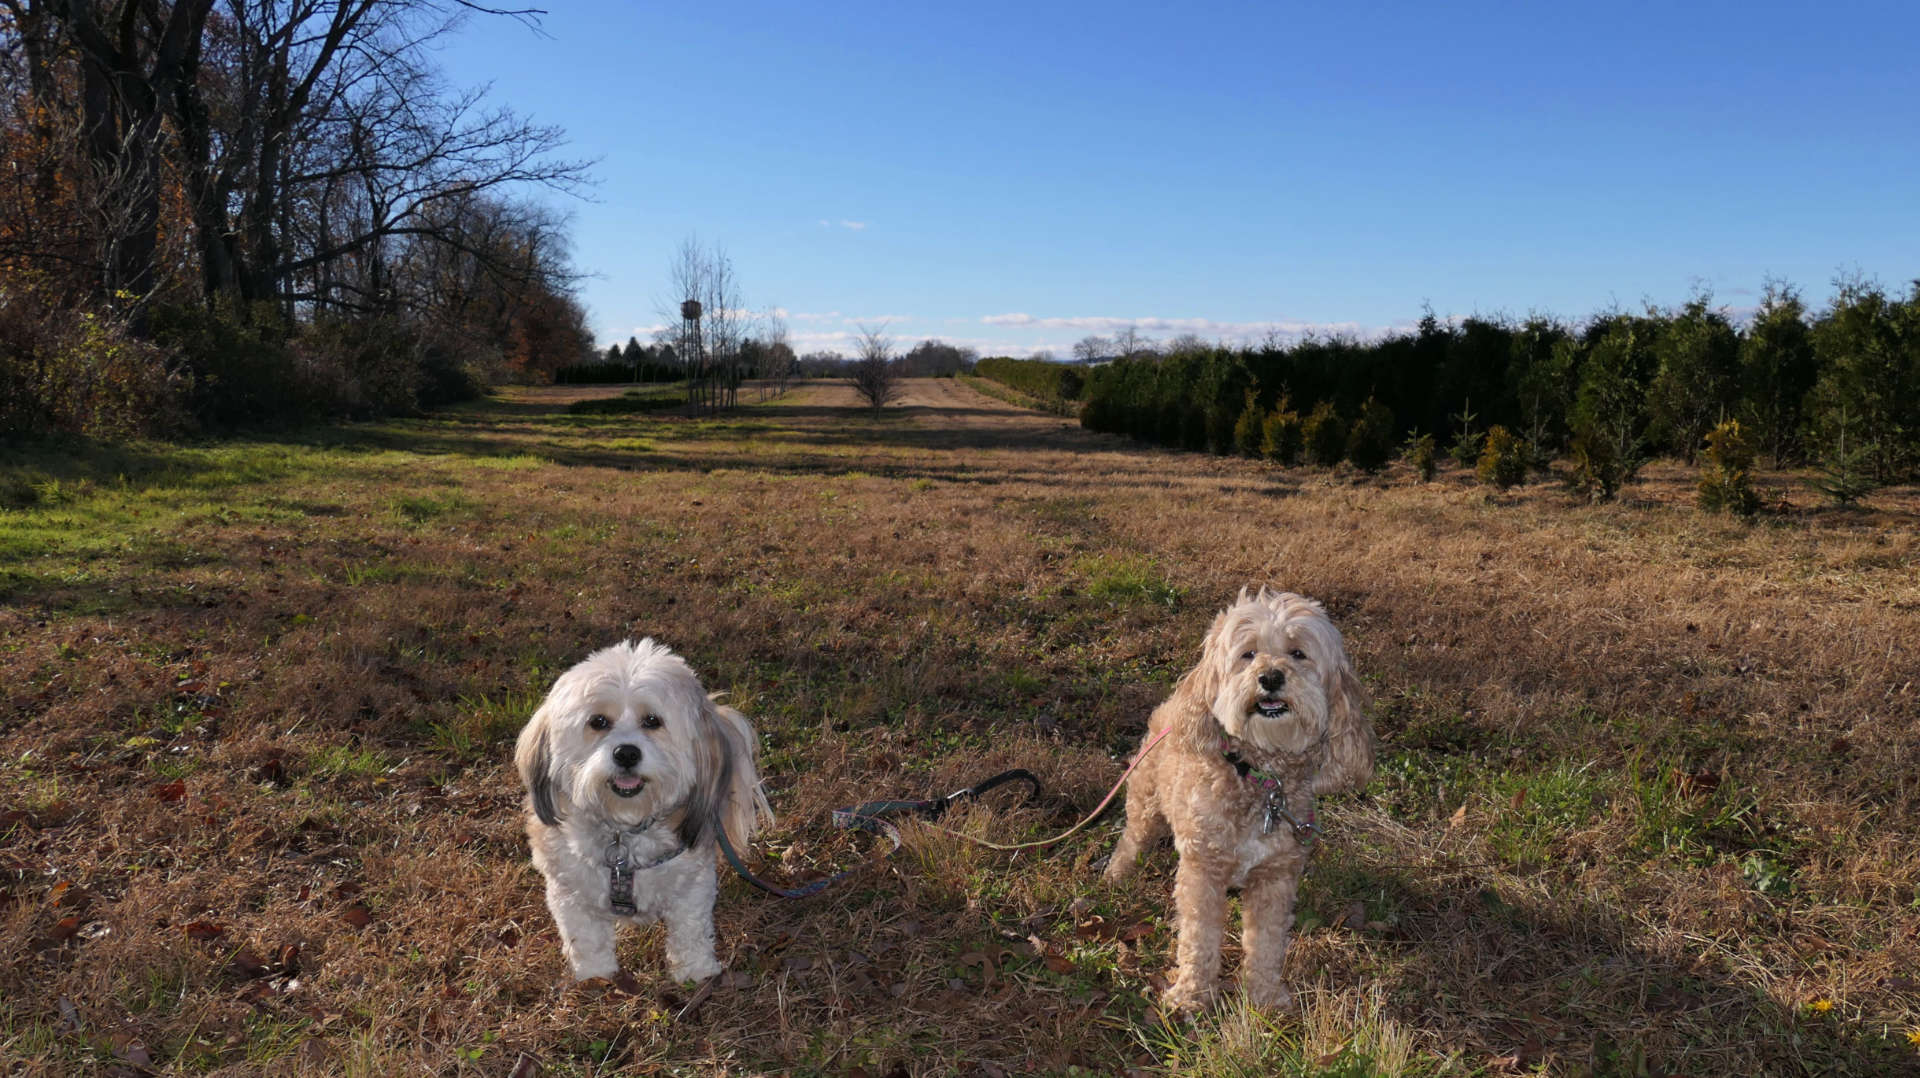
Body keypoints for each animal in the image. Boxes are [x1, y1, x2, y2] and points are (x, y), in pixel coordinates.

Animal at [522, 637, 775, 983]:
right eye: (598, 722)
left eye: (653, 721)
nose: (626, 753)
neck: (625, 834)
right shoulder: (569, 890)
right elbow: (585, 937)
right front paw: (595, 974)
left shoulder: (692, 885)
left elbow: (690, 931)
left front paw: (696, 971)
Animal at [1105, 588, 1374, 1006]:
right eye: (1248, 654)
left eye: (1298, 653)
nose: (1271, 677)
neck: (1259, 775)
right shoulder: (1203, 870)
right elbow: (1199, 938)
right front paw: (1191, 994)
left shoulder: (1275, 876)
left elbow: (1265, 942)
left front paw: (1264, 996)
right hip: (1145, 798)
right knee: (1132, 837)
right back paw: (1116, 874)